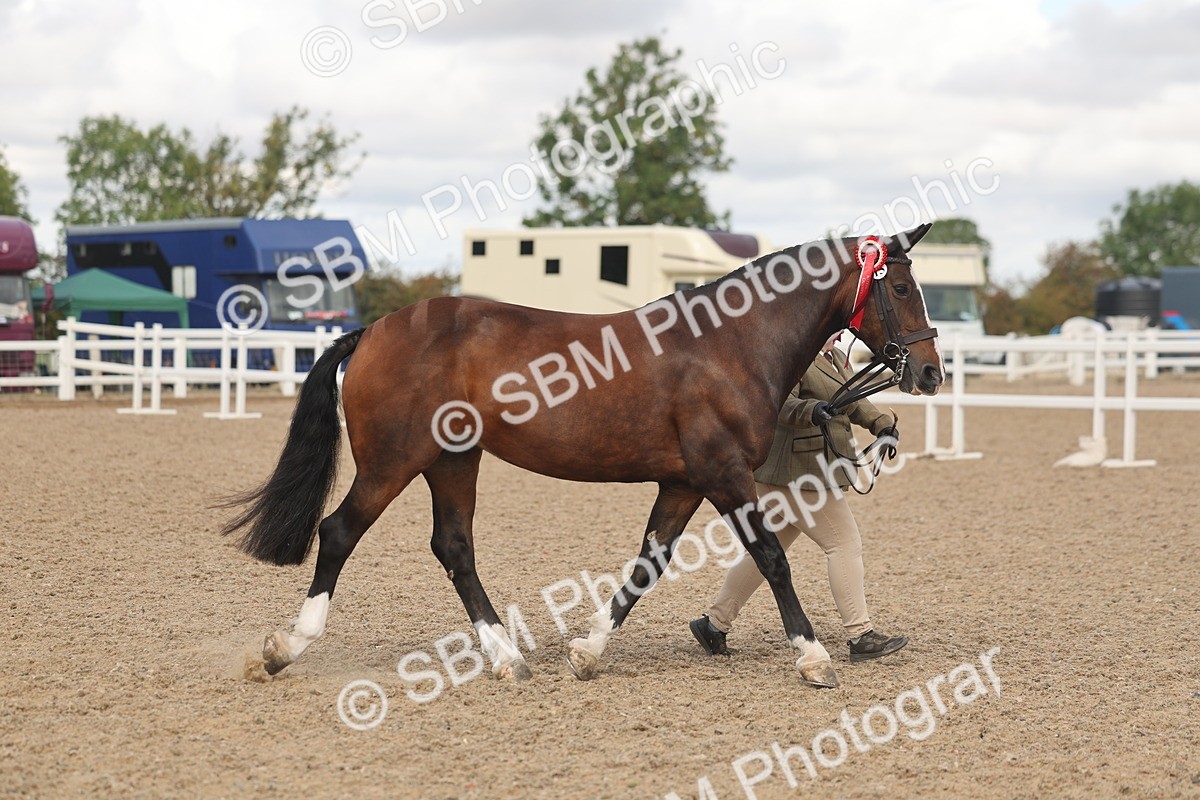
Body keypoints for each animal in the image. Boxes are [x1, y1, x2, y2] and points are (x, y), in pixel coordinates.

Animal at [222, 223, 944, 689]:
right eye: (901, 289)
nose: (932, 372)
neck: (730, 343)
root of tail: (373, 329)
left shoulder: (684, 482)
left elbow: (648, 564)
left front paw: (589, 652)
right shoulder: (722, 473)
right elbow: (771, 558)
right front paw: (813, 657)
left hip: (453, 460)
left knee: (454, 548)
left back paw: (506, 658)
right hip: (394, 461)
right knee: (339, 532)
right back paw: (284, 649)